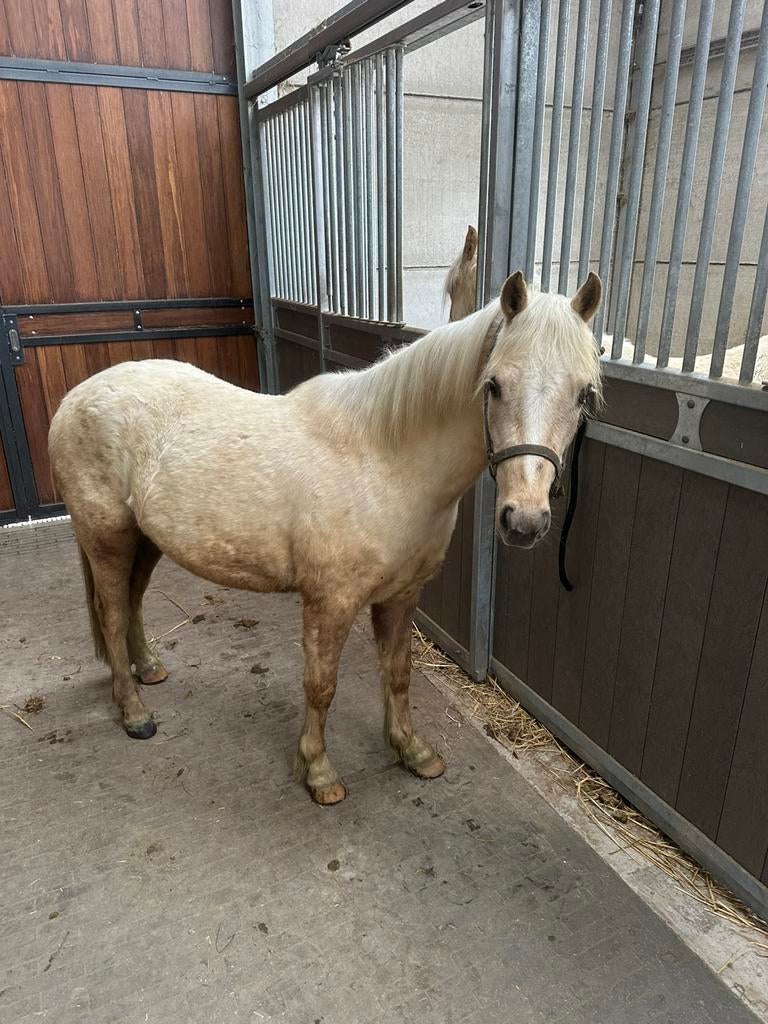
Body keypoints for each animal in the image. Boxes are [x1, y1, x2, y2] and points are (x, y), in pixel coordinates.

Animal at [48, 270, 603, 805]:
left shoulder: (401, 596)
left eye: (583, 395)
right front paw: (318, 773)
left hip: (145, 542)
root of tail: (75, 398)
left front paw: (412, 751)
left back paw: (149, 670)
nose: (524, 520)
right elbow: (320, 686)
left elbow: (398, 673)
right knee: (113, 615)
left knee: (133, 604)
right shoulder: (329, 603)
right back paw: (135, 713)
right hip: (108, 540)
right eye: (494, 385)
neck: (385, 461)